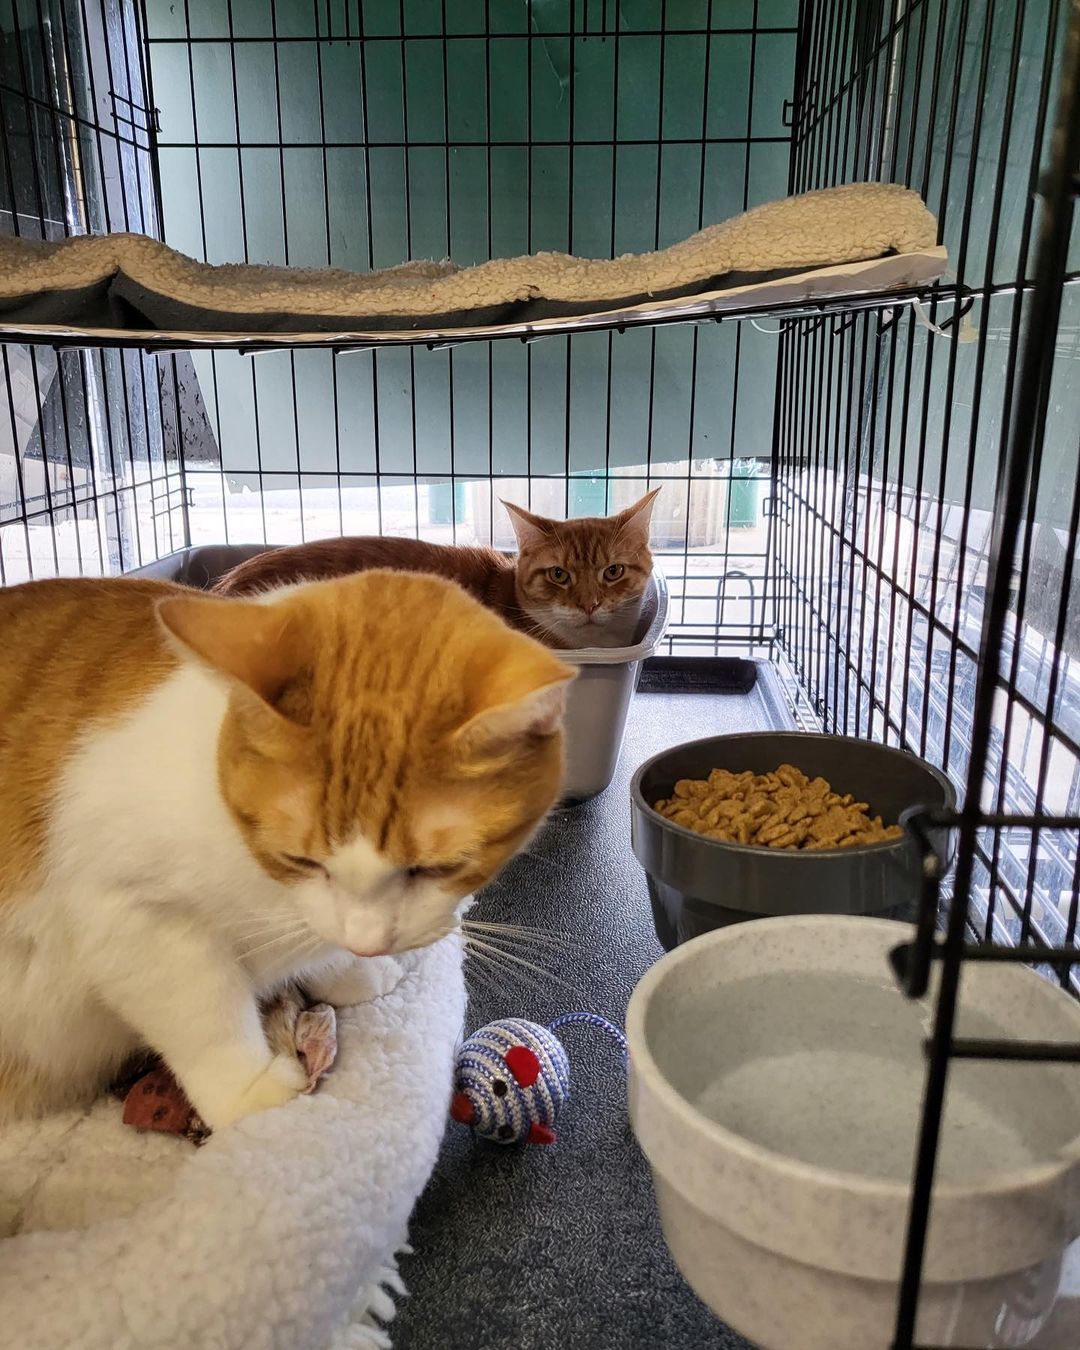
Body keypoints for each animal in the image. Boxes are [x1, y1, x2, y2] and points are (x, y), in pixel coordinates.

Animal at [0, 569, 572, 1128]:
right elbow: (204, 1017)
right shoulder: (127, 913)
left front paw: (352, 971)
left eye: (437, 868)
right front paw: (249, 1094)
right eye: (301, 860)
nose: (368, 944)